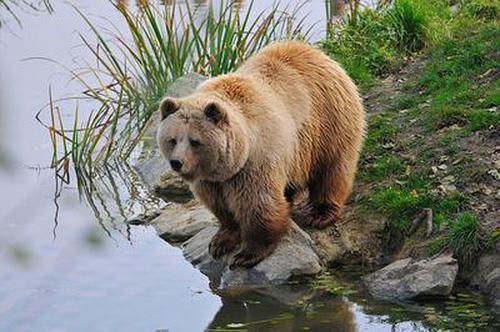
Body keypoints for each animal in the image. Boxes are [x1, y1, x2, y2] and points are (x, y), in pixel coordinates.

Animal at [158, 40, 366, 270]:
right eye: (172, 139)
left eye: (195, 141)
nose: (177, 162)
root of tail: (316, 52)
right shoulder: (212, 180)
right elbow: (220, 206)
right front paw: (221, 241)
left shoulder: (255, 161)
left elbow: (258, 204)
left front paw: (247, 254)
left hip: (328, 120)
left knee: (331, 169)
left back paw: (321, 213)